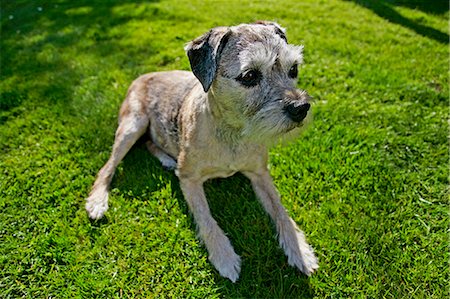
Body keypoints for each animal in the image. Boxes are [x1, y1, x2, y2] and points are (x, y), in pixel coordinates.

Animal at [86, 21, 318, 284]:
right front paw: (224, 256)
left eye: (294, 69)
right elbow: (206, 217)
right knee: (108, 166)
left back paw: (168, 160)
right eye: (250, 76)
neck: (232, 132)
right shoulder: (190, 180)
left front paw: (301, 252)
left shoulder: (260, 173)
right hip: (133, 124)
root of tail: (141, 75)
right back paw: (97, 201)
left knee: (149, 143)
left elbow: (281, 211)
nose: (301, 108)